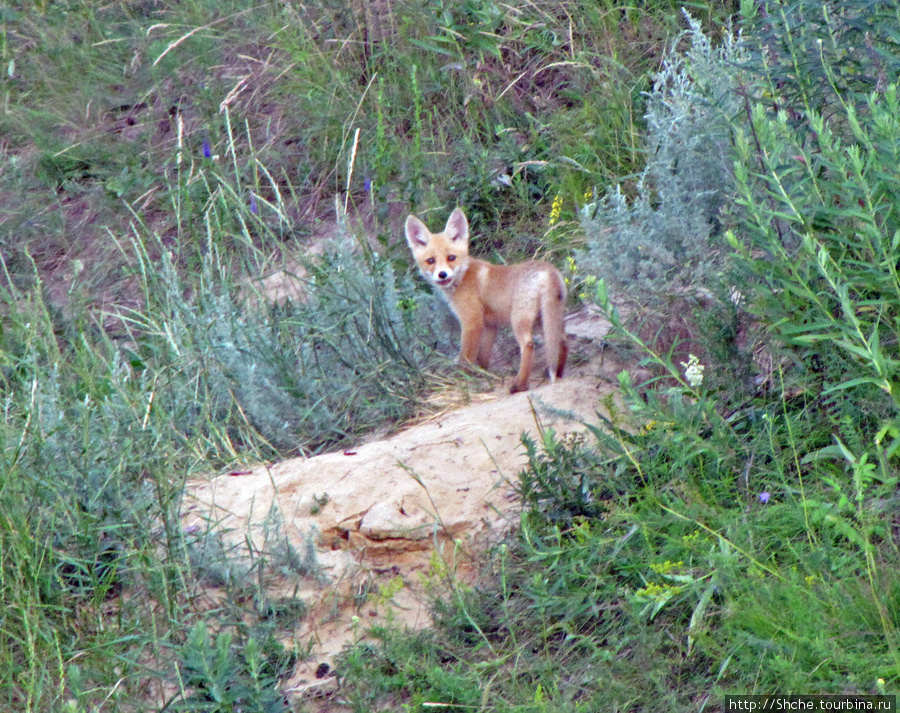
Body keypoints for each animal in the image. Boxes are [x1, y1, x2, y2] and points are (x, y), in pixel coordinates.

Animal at [404, 206, 568, 394]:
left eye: (451, 258)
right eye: (430, 261)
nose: (442, 274)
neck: (463, 276)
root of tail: (549, 270)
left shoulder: (472, 322)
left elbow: (466, 355)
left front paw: (462, 377)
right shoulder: (490, 325)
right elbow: (483, 355)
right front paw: (482, 372)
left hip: (520, 320)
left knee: (528, 345)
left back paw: (520, 385)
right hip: (547, 320)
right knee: (562, 341)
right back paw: (557, 373)